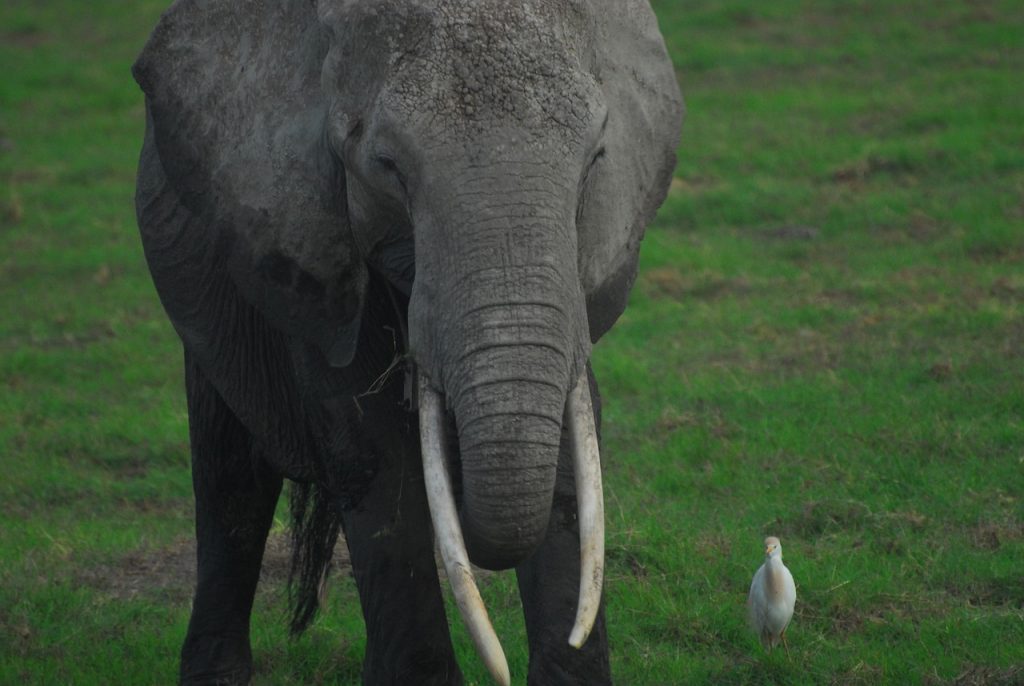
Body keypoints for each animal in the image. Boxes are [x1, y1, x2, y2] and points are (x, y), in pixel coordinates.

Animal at [134, 1, 679, 686]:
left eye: (596, 160)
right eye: (387, 166)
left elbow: (566, 446)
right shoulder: (308, 248)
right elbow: (373, 448)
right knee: (231, 478)